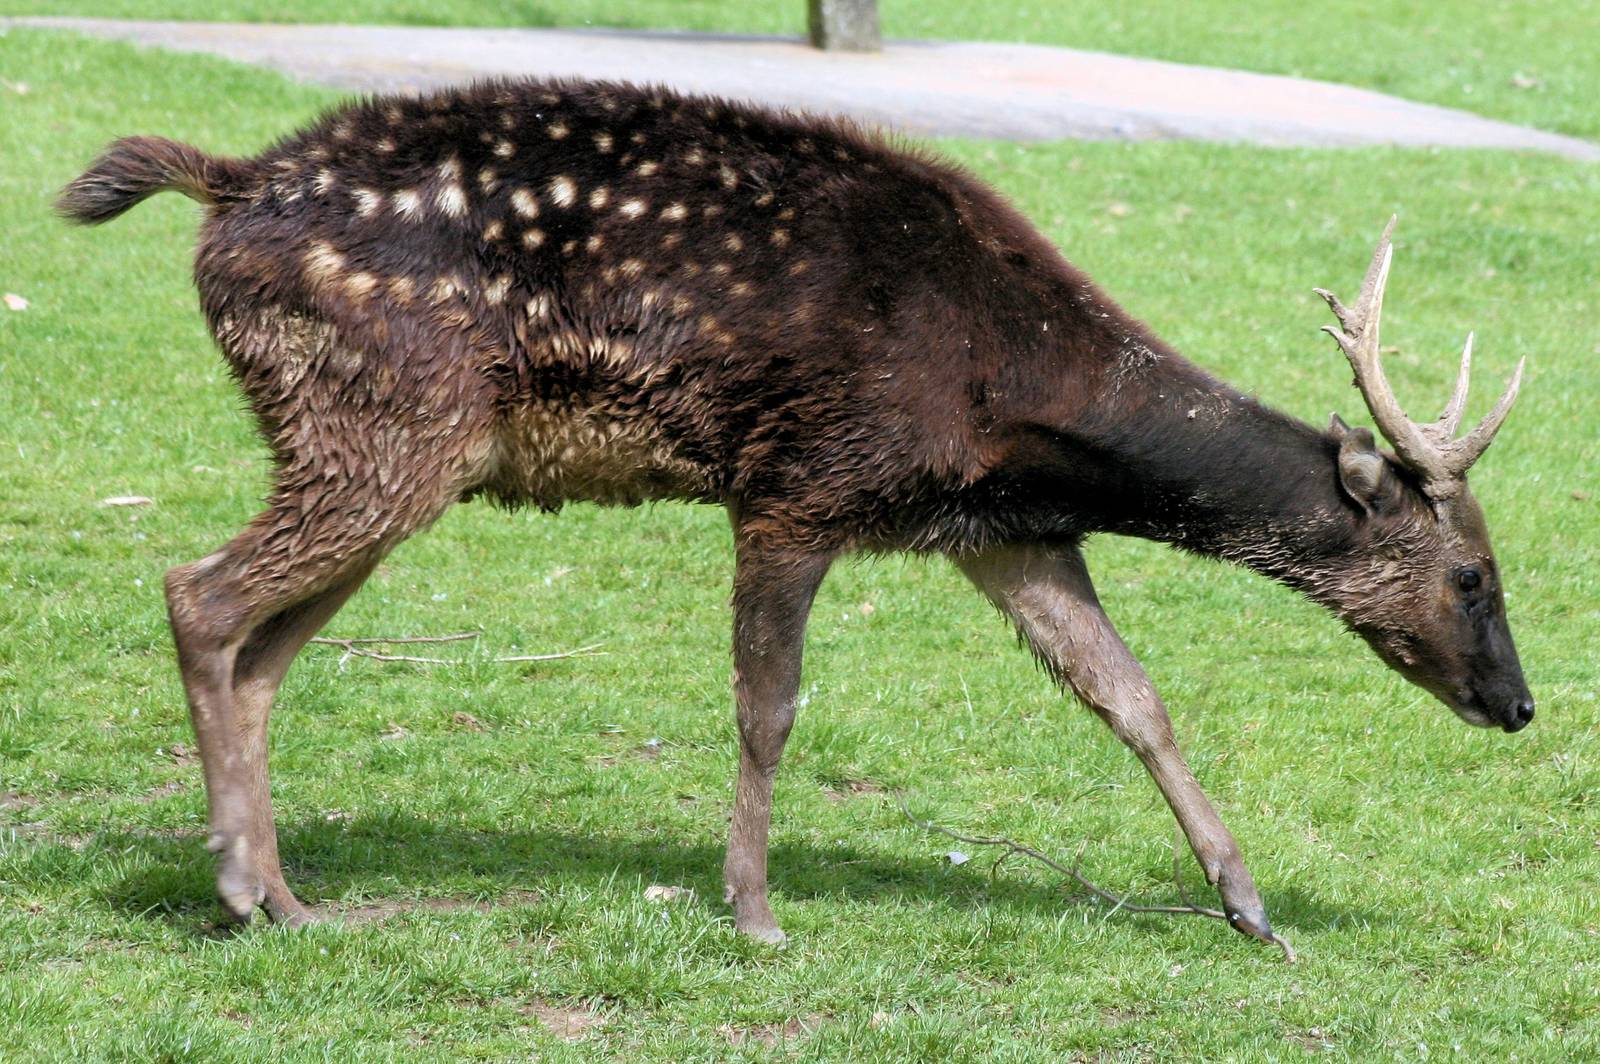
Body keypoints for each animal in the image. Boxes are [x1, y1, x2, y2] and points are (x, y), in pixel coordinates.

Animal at [57, 77, 1531, 952]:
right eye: (1472, 574)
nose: (1517, 704)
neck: (1010, 403)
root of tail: (225, 187)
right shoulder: (795, 483)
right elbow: (767, 707)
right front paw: (755, 909)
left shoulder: (1004, 530)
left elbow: (1131, 696)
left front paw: (1249, 903)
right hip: (381, 424)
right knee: (200, 593)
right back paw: (236, 881)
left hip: (390, 452)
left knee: (260, 648)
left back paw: (285, 893)